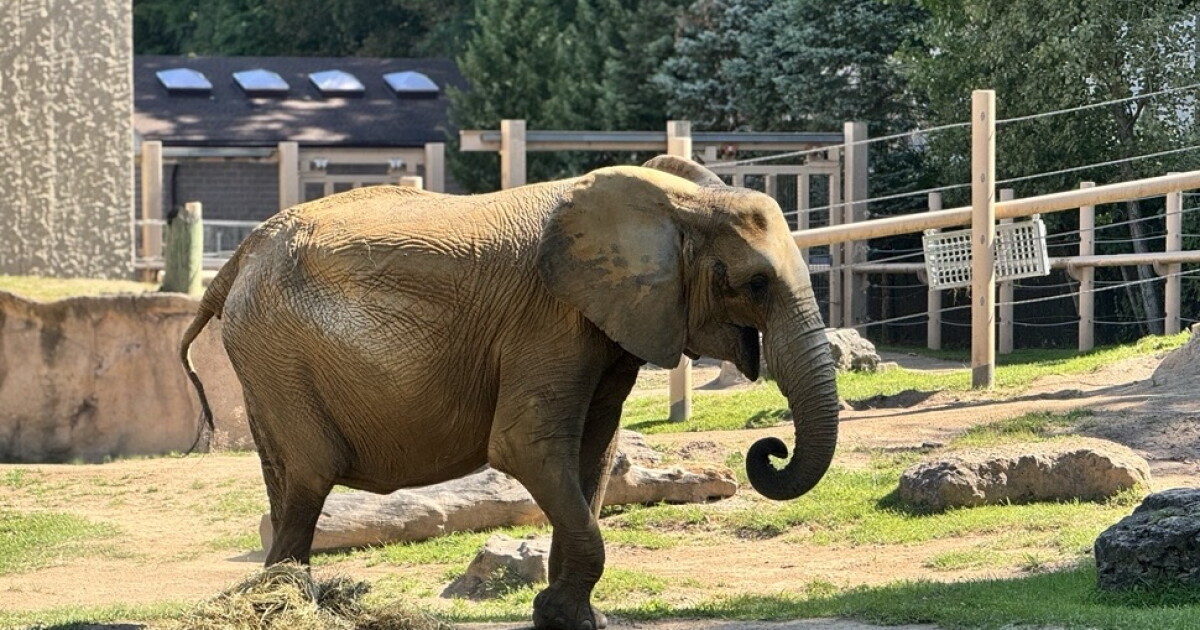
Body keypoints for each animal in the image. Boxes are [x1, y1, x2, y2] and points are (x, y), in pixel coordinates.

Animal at [180, 155, 839, 630]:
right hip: (276, 349)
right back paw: (290, 605)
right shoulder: (549, 321)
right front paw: (564, 616)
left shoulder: (604, 324)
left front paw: (571, 619)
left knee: (288, 480)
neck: (675, 204)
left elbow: (594, 453)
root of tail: (243, 253)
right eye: (755, 283)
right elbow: (527, 446)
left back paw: (282, 597)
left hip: (267, 357)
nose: (769, 449)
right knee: (310, 474)